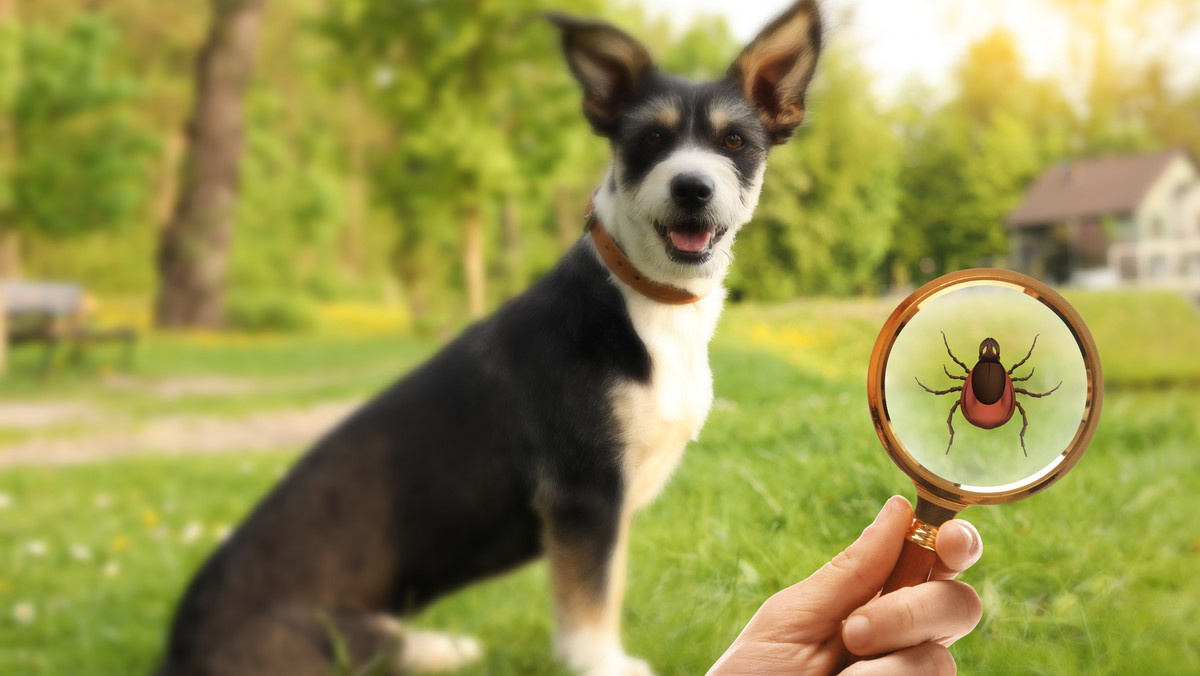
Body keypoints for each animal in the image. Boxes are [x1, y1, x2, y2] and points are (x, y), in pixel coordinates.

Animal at [154, 2, 820, 672]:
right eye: (650, 139)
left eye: (734, 141)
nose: (691, 187)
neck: (644, 302)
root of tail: (178, 646)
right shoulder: (583, 492)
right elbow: (589, 597)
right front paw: (600, 662)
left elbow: (605, 586)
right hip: (323, 638)